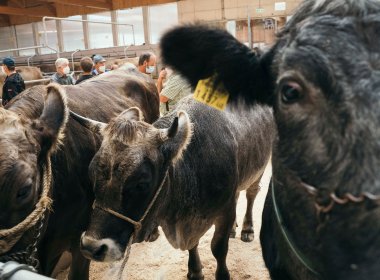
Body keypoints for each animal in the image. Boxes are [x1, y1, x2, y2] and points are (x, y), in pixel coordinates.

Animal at [74, 95, 274, 278]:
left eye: (142, 183)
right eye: (91, 173)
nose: (91, 247)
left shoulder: (225, 211)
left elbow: (218, 248)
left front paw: (222, 274)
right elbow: (193, 245)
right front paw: (195, 271)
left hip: (260, 169)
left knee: (251, 194)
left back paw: (247, 229)